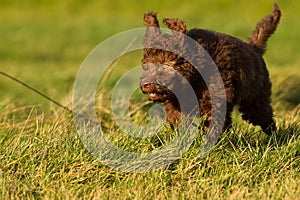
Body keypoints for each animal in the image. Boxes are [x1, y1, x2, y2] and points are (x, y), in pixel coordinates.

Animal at [141, 3, 282, 134]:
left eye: (166, 65)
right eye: (145, 65)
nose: (145, 85)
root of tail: (254, 47)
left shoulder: (215, 99)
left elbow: (213, 122)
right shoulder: (175, 103)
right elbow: (178, 120)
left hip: (256, 99)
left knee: (265, 117)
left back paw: (275, 137)